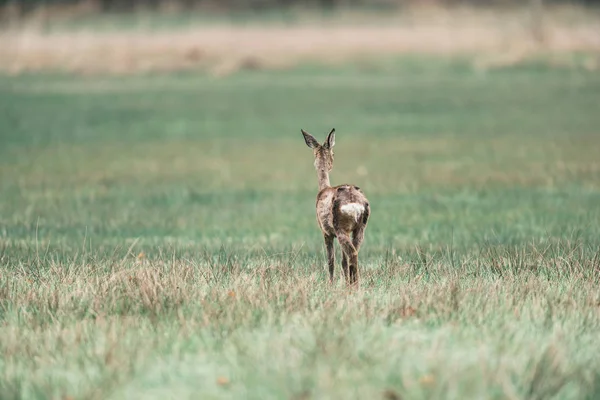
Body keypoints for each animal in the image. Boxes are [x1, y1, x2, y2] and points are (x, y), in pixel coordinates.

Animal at [302, 128, 368, 284]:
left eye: (333, 153)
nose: (331, 164)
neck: (323, 188)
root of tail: (355, 204)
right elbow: (342, 261)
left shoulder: (326, 232)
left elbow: (330, 260)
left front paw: (330, 284)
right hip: (359, 228)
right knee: (352, 254)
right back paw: (352, 284)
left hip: (340, 228)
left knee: (351, 254)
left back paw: (354, 286)